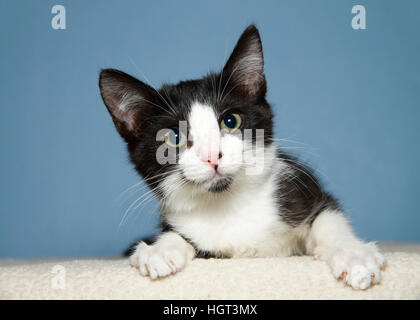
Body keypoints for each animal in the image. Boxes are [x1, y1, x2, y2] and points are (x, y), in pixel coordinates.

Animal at [97, 24, 384, 290]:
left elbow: (328, 216)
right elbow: (180, 236)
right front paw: (160, 249)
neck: (228, 205)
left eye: (230, 121)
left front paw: (354, 255)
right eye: (174, 137)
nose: (212, 156)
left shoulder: (301, 188)